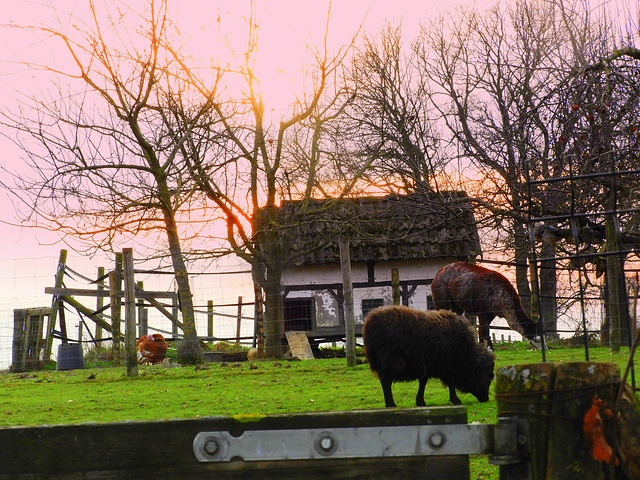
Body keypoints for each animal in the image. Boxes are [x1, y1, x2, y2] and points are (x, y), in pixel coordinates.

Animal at [360, 306, 496, 406]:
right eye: (489, 377)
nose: (485, 399)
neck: (467, 354)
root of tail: (369, 322)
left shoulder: (425, 364)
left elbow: (423, 382)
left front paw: (420, 401)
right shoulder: (447, 365)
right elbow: (451, 383)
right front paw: (456, 400)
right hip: (391, 360)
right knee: (386, 381)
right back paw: (390, 404)